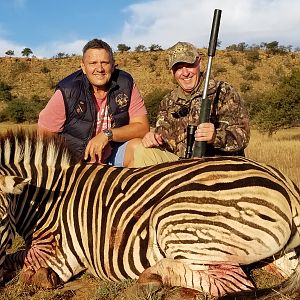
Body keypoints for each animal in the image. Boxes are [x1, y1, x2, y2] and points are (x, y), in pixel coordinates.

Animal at [0, 128, 298, 298]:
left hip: (175, 220)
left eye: (2, 219)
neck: (47, 198)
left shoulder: (56, 254)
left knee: (234, 285)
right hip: (275, 255)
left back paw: (157, 283)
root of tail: (282, 180)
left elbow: (26, 271)